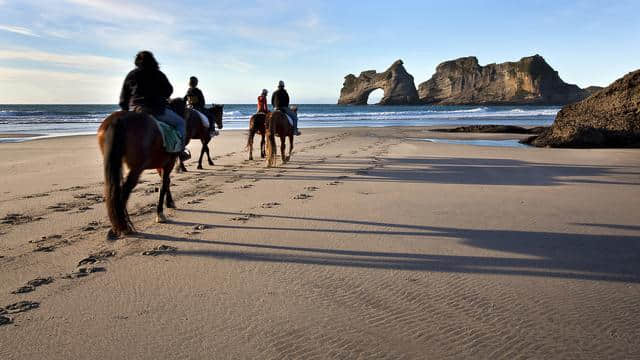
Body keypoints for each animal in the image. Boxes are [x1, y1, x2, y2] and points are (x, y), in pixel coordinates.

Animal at [97, 97, 191, 240]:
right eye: (186, 111)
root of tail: (118, 119)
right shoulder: (168, 164)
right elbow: (164, 184)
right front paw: (160, 213)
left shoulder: (160, 165)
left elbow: (166, 182)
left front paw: (169, 203)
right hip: (137, 168)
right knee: (125, 190)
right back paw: (123, 226)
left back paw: (116, 226)